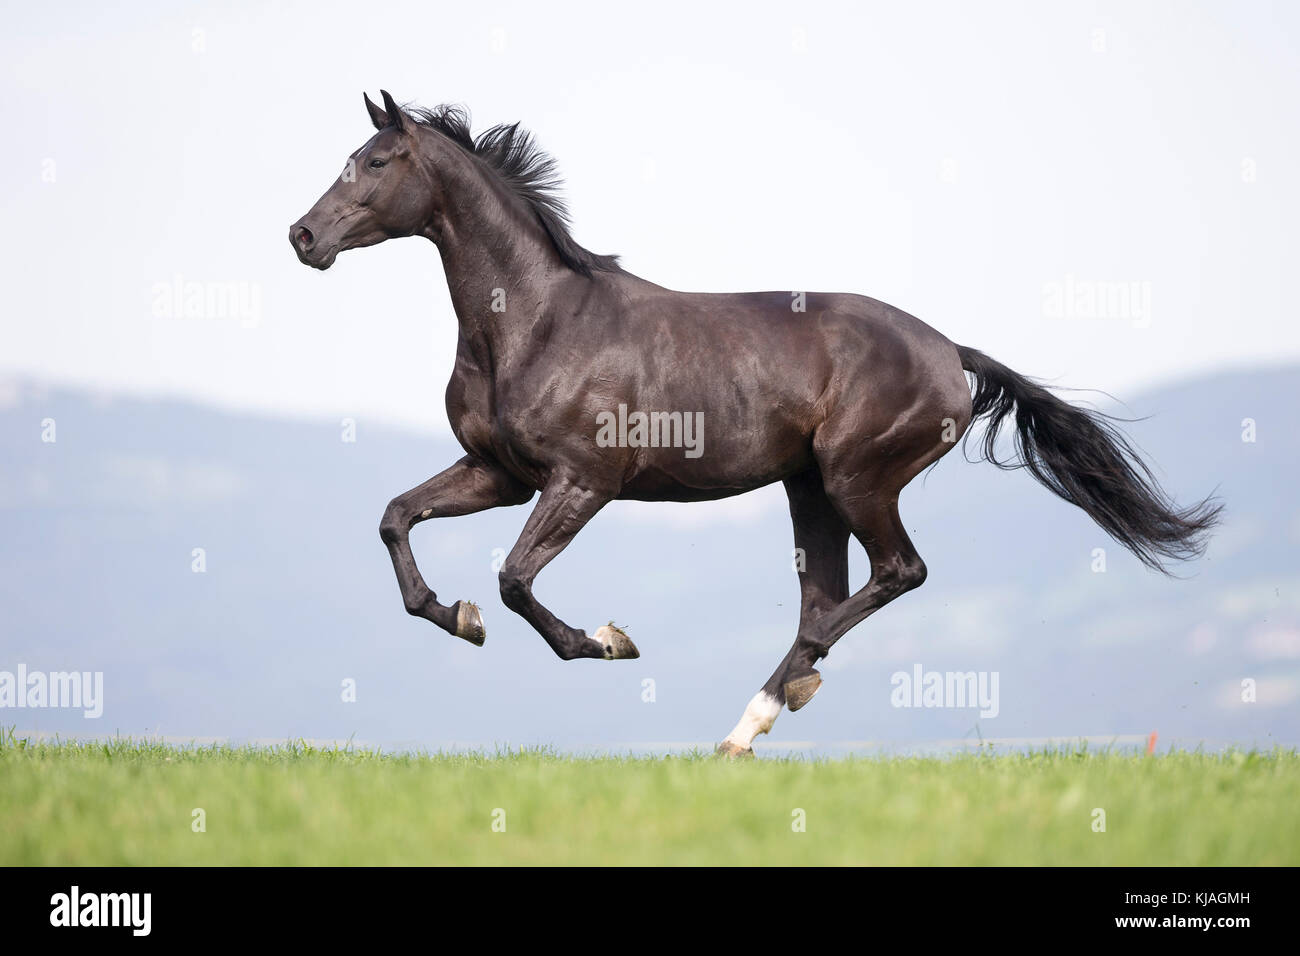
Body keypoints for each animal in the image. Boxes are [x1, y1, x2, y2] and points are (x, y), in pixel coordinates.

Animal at [289, 93, 1222, 759]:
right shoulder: (500, 474)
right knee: (834, 595)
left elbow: (518, 578)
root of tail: (947, 350)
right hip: (809, 488)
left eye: (376, 162)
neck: (534, 322)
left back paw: (762, 709)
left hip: (856, 476)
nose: (302, 236)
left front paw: (607, 642)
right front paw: (457, 617)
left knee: (892, 577)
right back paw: (760, 719)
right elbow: (397, 520)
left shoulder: (581, 481)